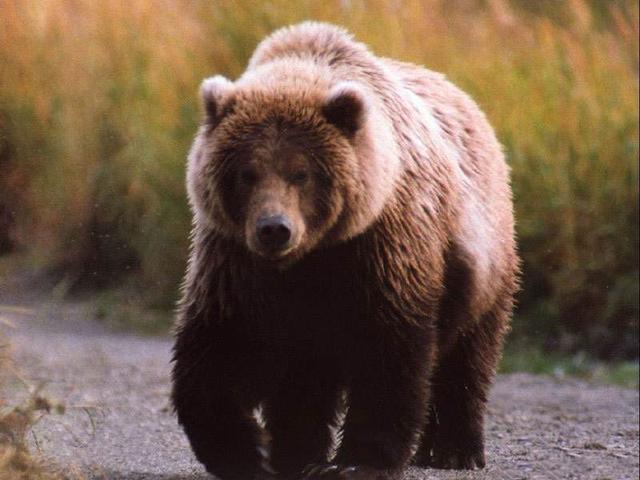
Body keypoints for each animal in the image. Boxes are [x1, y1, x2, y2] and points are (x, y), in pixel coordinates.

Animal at [171, 20, 520, 480]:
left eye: (301, 173)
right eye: (247, 173)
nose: (274, 229)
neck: (311, 256)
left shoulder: (381, 247)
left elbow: (388, 348)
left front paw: (360, 459)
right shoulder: (234, 261)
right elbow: (220, 345)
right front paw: (249, 452)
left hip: (482, 259)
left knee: (468, 353)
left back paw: (453, 449)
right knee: (304, 379)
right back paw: (298, 452)